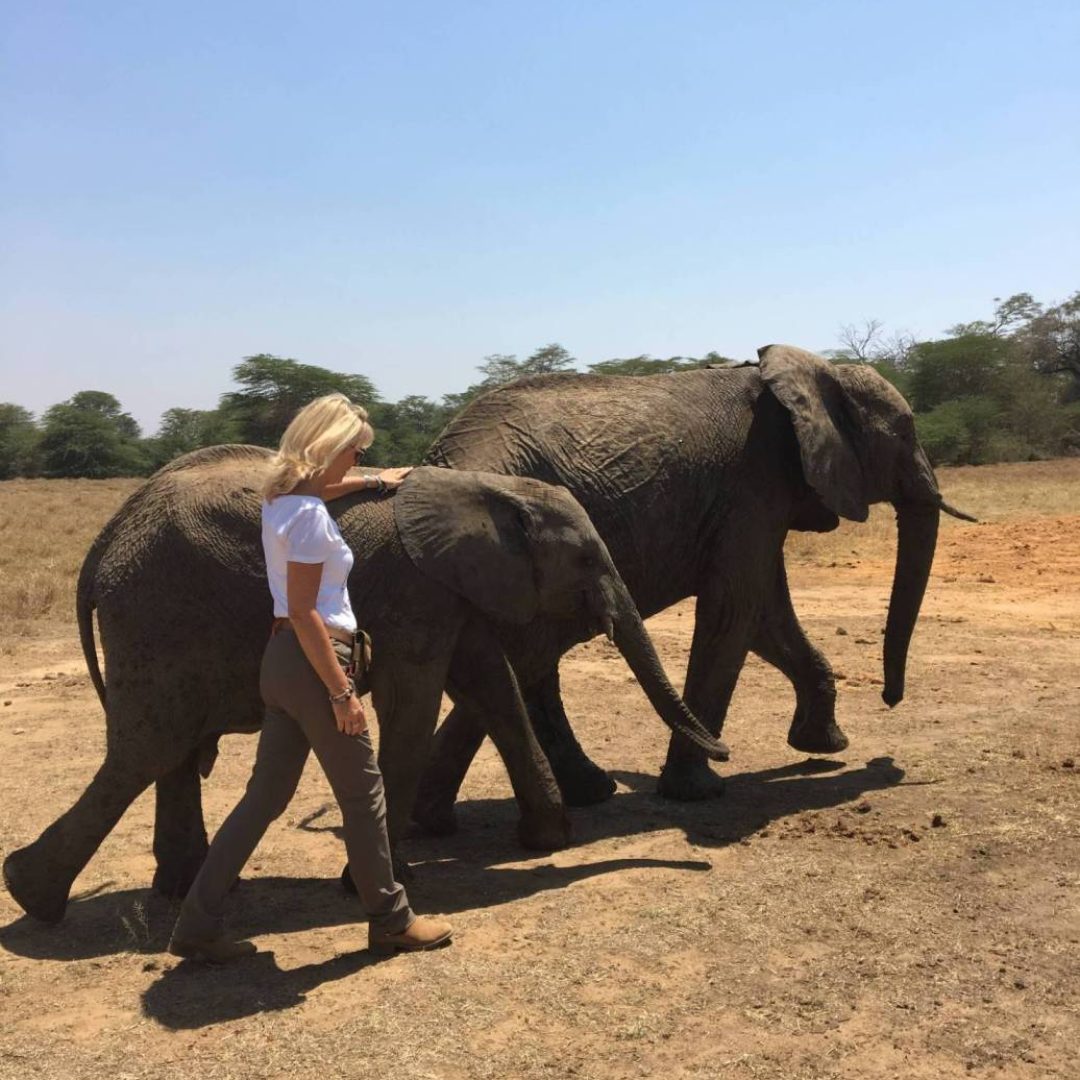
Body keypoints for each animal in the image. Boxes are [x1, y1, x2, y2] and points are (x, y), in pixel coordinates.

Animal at [4, 442, 725, 924]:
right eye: (585, 559)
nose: (725, 751)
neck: (491, 487)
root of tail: (104, 541)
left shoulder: (447, 589)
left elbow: (493, 686)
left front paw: (546, 841)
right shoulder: (414, 588)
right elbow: (415, 702)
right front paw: (373, 880)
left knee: (171, 751)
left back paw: (183, 889)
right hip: (155, 612)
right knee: (145, 750)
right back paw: (31, 896)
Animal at [410, 339, 972, 816]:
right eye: (906, 432)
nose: (890, 699)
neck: (813, 374)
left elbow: (765, 614)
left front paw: (824, 744)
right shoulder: (755, 481)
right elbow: (735, 610)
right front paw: (699, 792)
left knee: (529, 663)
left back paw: (581, 795)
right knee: (529, 657)